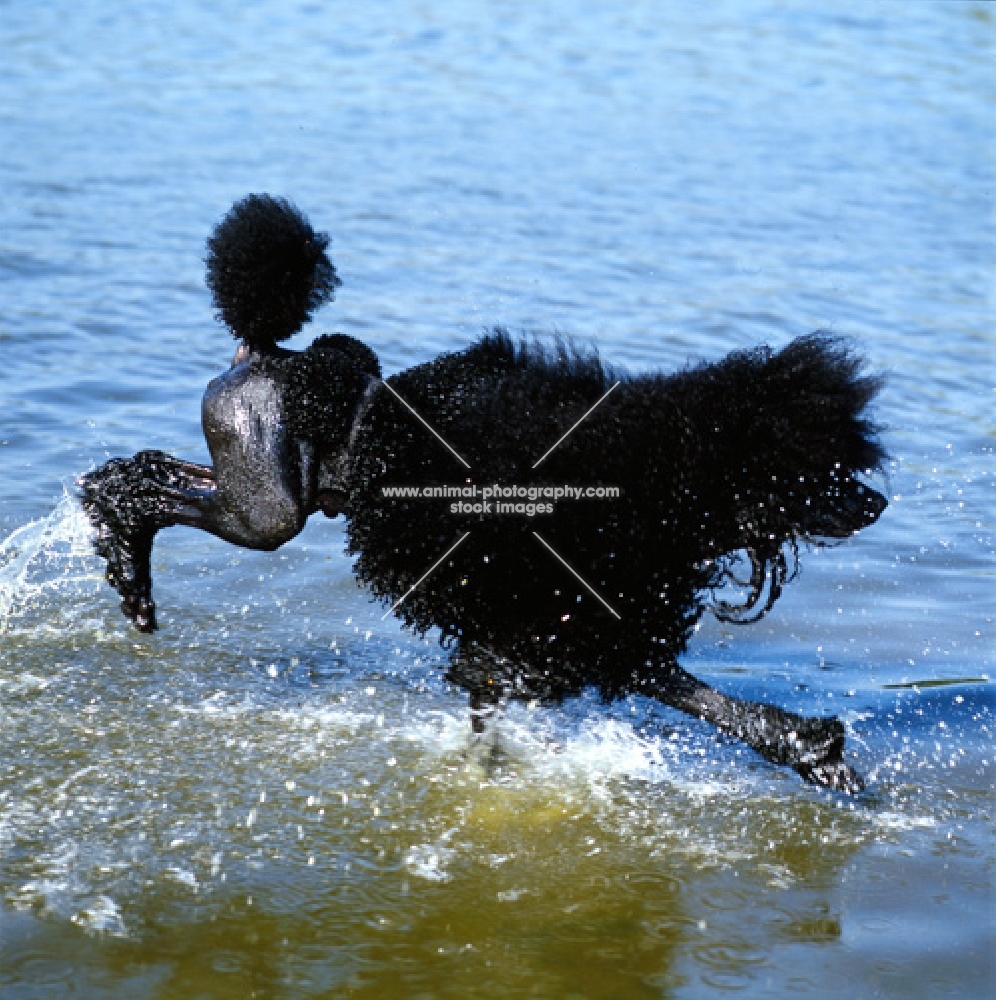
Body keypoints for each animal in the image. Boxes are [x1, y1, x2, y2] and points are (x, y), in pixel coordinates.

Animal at [80, 193, 888, 788]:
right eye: (819, 472)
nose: (878, 504)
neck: (667, 471)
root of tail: (271, 353)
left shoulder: (594, 620)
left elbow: (689, 693)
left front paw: (809, 751)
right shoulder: (533, 619)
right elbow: (505, 694)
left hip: (262, 480)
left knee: (160, 473)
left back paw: (120, 543)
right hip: (266, 495)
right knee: (165, 492)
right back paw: (123, 546)